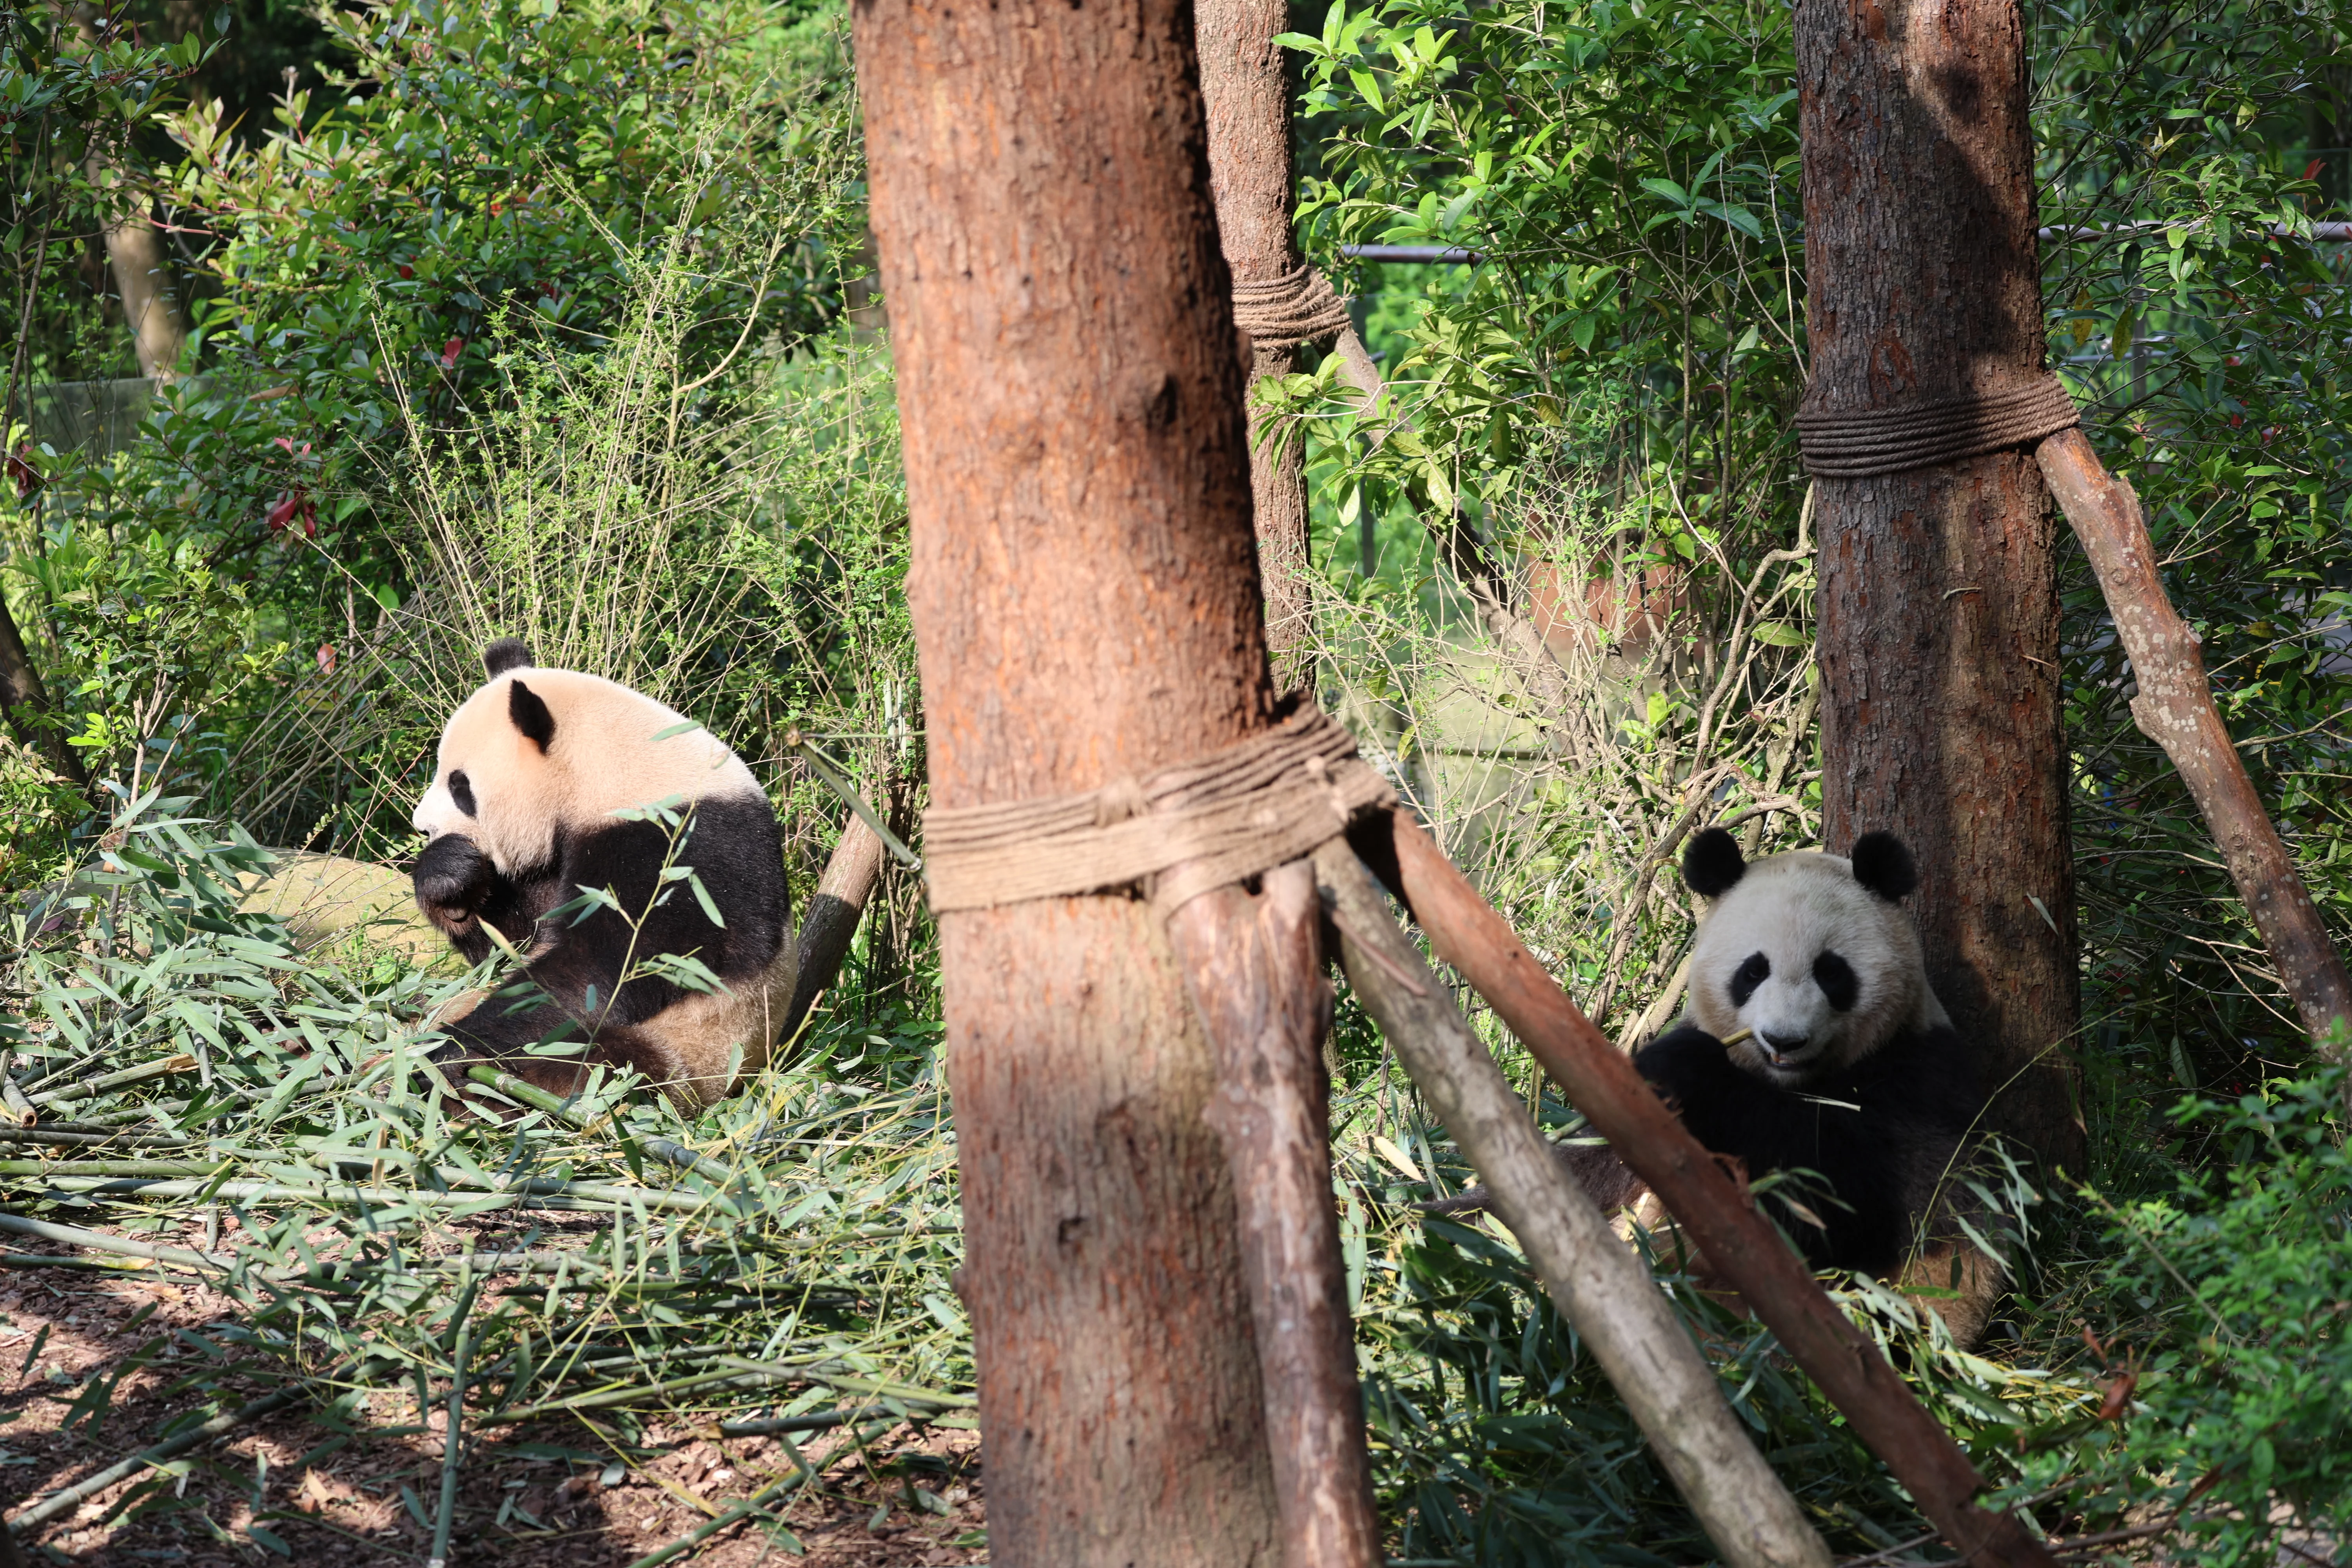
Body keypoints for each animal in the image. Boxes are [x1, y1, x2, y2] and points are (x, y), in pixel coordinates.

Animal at [408, 638, 796, 1109]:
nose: (423, 826)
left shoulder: (677, 849)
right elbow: (513, 948)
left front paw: (450, 1050)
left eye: (460, 786)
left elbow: (603, 970)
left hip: (690, 1053)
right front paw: (450, 877)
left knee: (591, 1066)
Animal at [1608, 827, 2005, 1344]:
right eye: (1753, 971)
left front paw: (1690, 1069)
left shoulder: (1919, 1074)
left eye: (1831, 971)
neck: (1795, 1082)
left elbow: (1845, 1192)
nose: (1785, 1040)